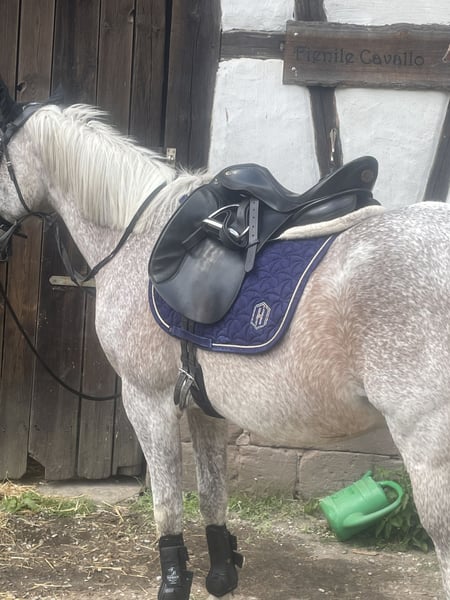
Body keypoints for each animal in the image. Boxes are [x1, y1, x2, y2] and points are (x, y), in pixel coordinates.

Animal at [1, 78, 449, 600]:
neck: (137, 235)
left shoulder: (147, 400)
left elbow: (168, 502)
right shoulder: (203, 405)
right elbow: (213, 495)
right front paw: (221, 574)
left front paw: (173, 582)